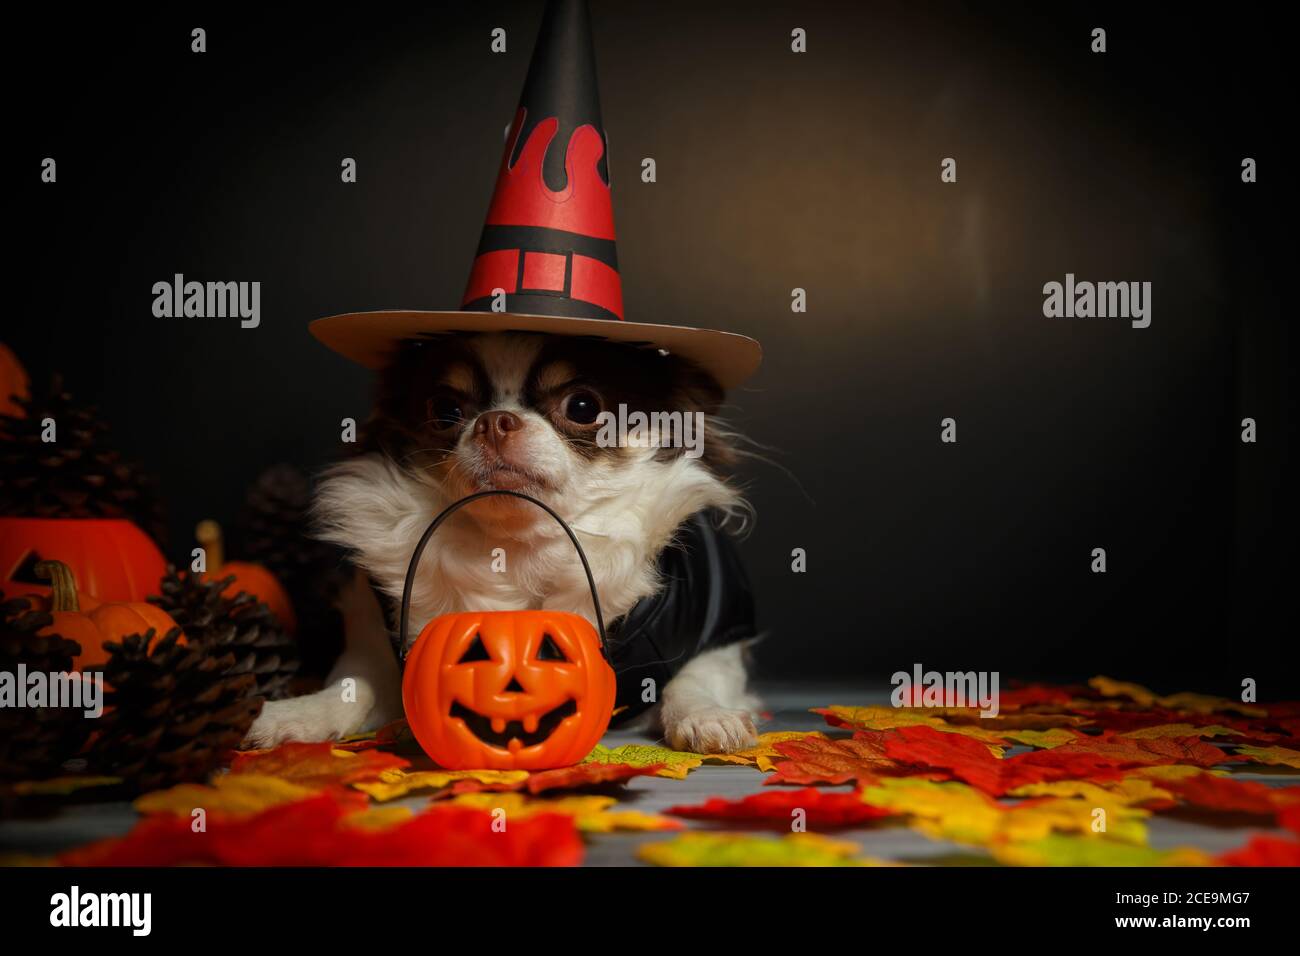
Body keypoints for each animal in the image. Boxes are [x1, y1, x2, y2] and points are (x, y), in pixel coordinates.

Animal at [244, 332, 759, 759]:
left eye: (583, 407)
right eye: (446, 410)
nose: (494, 421)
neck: (516, 549)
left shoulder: (717, 633)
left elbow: (691, 678)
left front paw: (706, 717)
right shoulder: (377, 642)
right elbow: (356, 686)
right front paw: (299, 714)